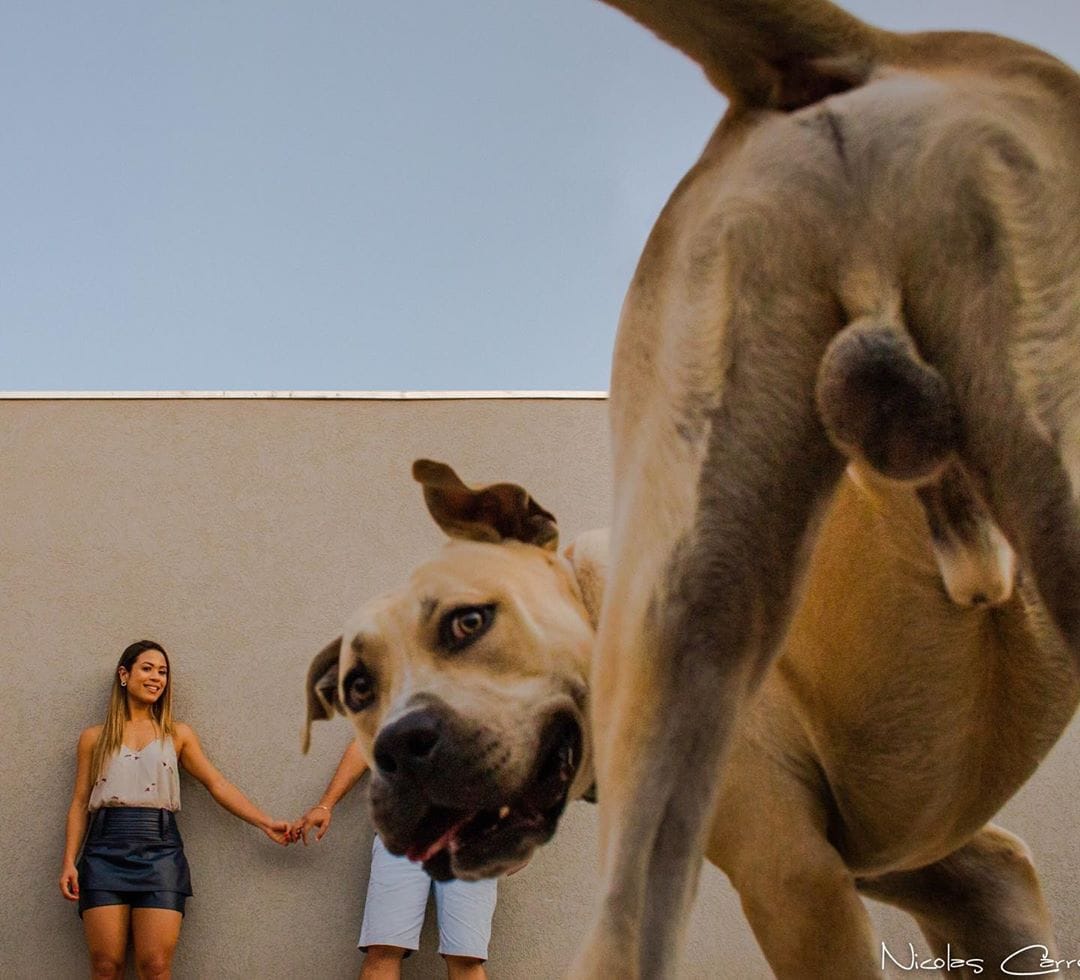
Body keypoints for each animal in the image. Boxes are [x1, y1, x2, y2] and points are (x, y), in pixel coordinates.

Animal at [306, 0, 1080, 976]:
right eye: (356, 689)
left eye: (468, 623)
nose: (402, 746)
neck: (594, 595)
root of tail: (826, 62)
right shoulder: (964, 879)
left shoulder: (810, 883)